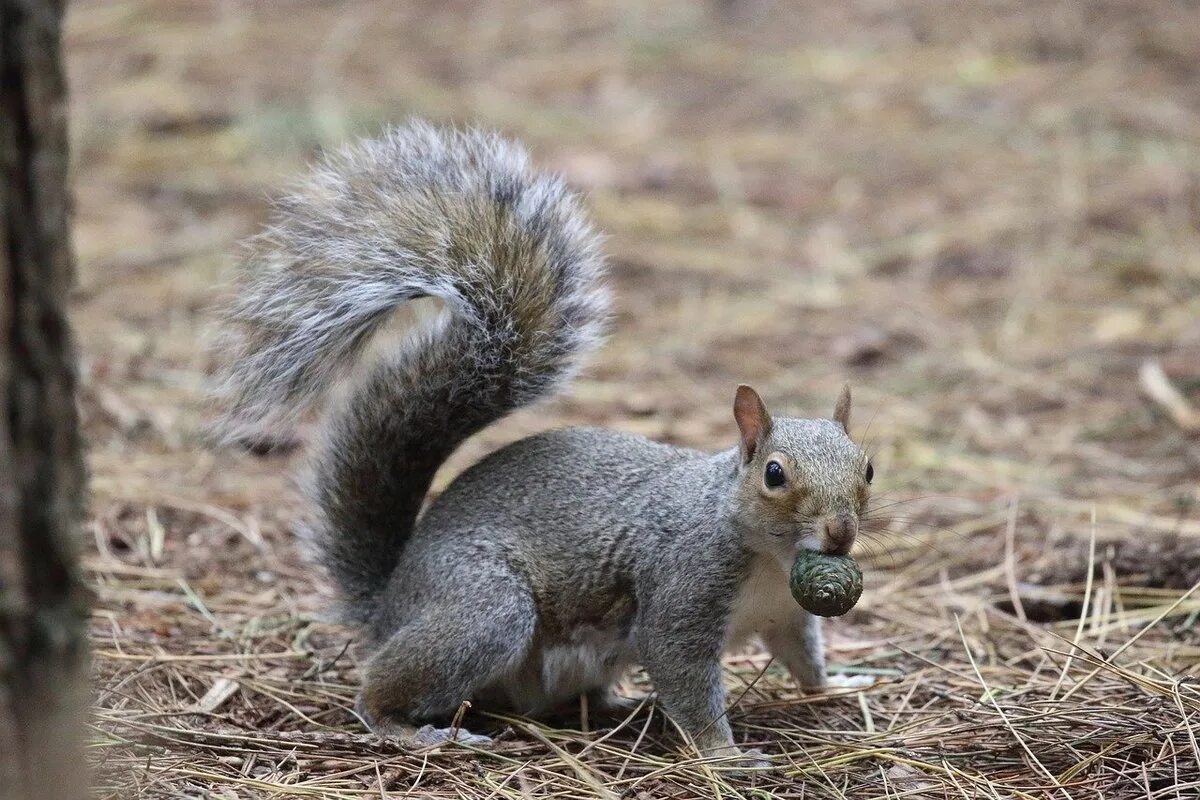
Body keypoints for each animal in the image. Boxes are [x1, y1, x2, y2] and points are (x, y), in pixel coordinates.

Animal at [211, 118, 873, 762]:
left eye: (867, 468)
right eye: (774, 474)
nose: (841, 533)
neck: (769, 556)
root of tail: (392, 602)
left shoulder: (787, 615)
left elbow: (803, 660)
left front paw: (840, 683)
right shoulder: (682, 589)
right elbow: (682, 672)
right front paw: (725, 754)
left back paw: (617, 706)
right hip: (484, 609)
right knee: (381, 684)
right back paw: (414, 729)